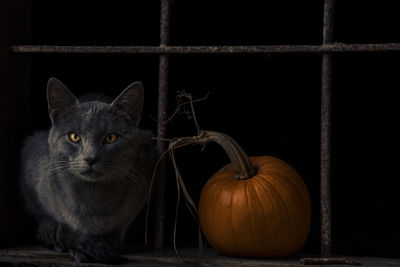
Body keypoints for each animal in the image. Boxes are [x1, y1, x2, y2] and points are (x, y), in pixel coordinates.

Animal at [19, 78, 158, 264]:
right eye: (74, 137)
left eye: (111, 138)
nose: (91, 158)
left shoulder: (145, 175)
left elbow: (122, 223)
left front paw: (112, 243)